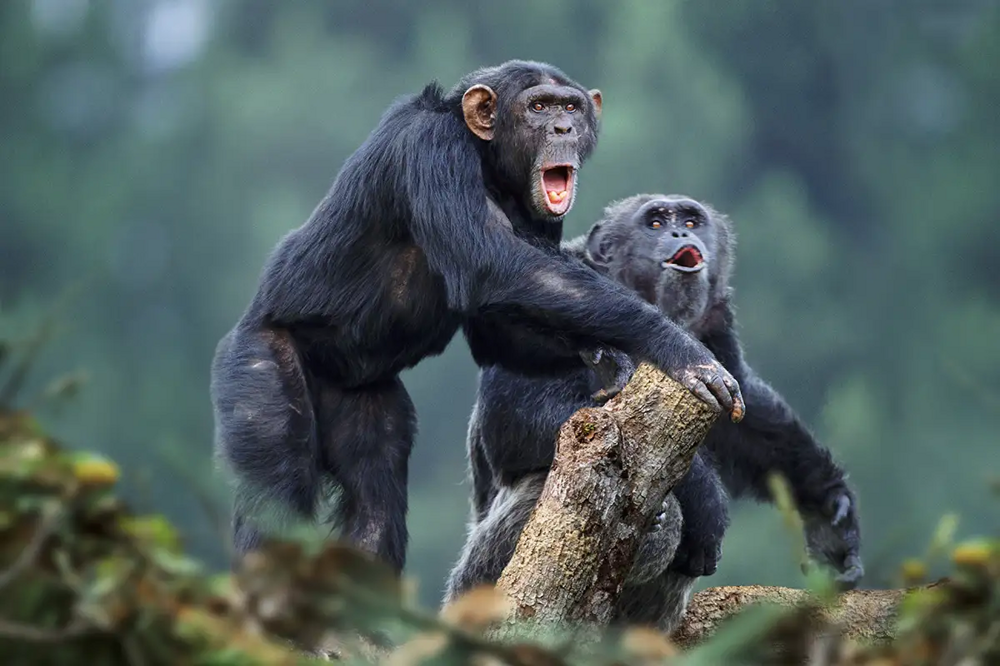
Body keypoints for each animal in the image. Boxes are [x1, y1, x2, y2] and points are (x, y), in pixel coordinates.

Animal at [211, 61, 748, 572]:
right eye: (538, 106)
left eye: (571, 107)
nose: (562, 128)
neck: (488, 160)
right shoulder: (430, 147)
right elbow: (491, 264)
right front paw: (679, 352)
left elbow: (501, 325)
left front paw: (606, 357)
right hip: (258, 360)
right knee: (278, 485)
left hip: (364, 401)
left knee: (376, 489)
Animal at [442, 192, 864, 628]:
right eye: (656, 222)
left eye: (692, 221)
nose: (679, 233)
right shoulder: (544, 305)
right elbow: (517, 417)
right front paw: (706, 496)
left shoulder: (715, 328)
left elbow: (742, 412)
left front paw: (830, 513)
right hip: (480, 580)